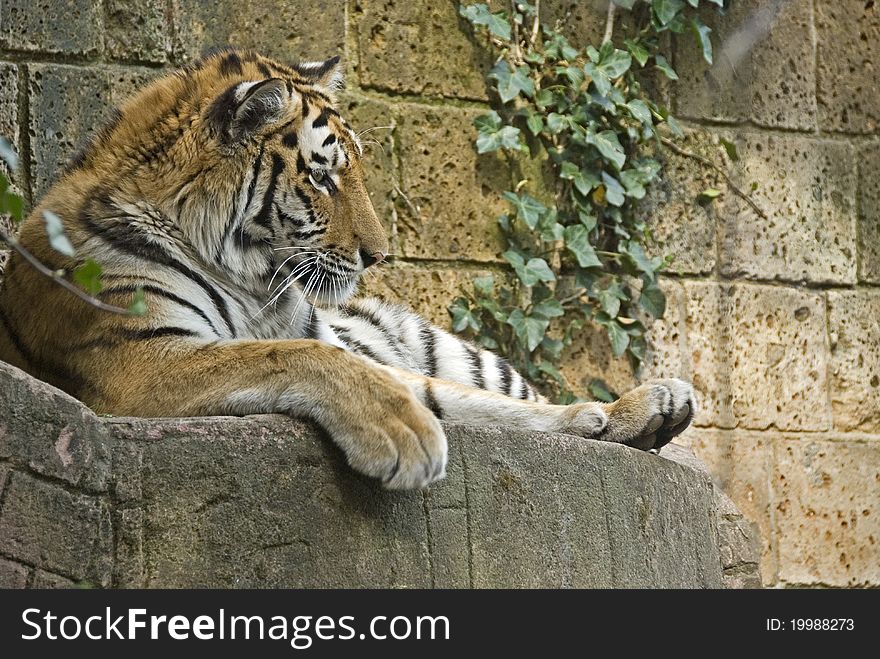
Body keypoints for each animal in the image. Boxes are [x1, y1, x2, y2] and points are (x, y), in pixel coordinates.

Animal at [0, 49, 696, 490]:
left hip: (447, 345)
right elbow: (292, 357)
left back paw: (648, 406)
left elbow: (456, 398)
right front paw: (405, 434)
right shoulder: (136, 359)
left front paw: (591, 420)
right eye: (323, 176)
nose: (380, 255)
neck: (249, 281)